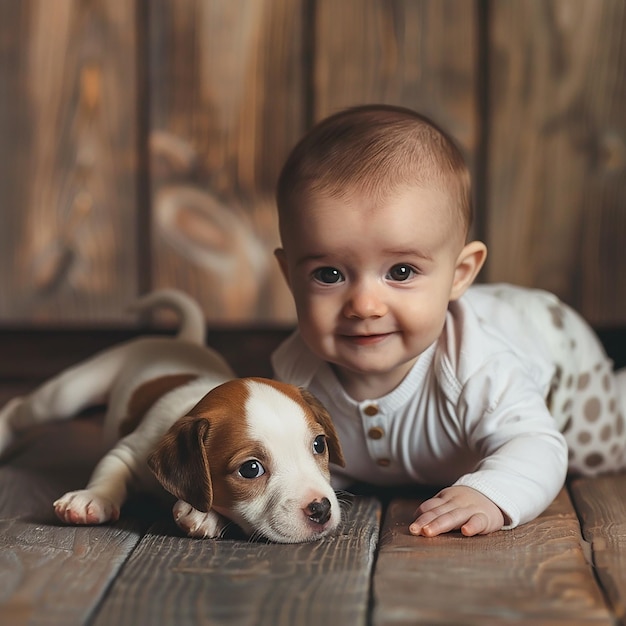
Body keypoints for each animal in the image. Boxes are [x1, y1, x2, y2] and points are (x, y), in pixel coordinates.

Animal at [0, 290, 342, 540]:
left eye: (318, 445)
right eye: (251, 469)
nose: (321, 509)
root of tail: (181, 341)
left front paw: (201, 512)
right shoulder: (130, 451)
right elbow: (110, 471)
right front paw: (92, 497)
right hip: (68, 393)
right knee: (21, 409)